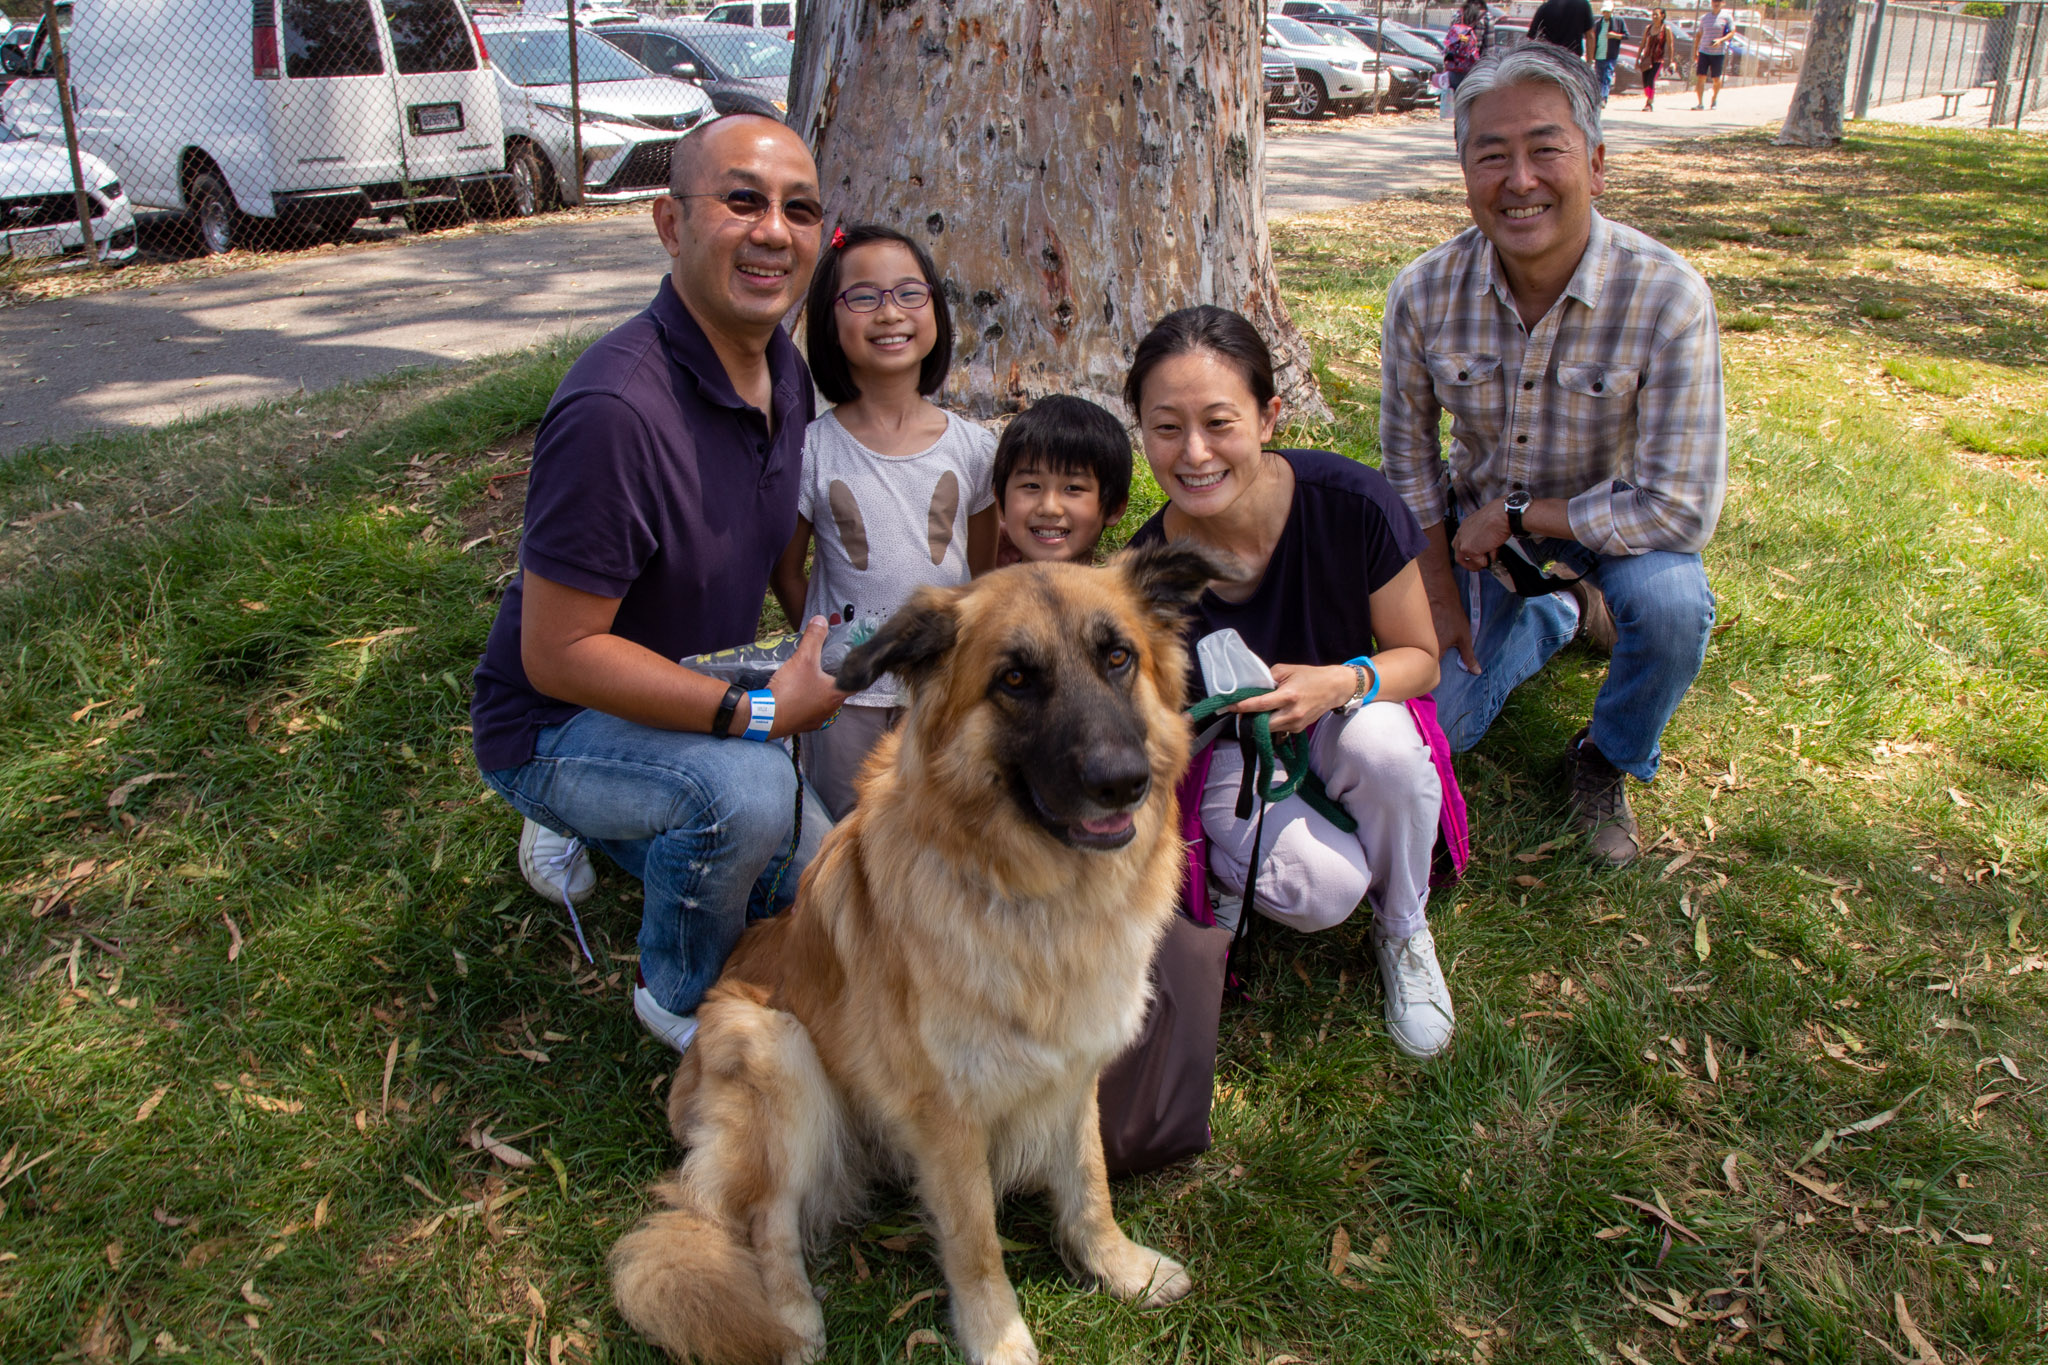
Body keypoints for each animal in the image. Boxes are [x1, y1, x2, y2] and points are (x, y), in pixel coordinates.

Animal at [606, 540, 1212, 1365]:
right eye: (1014, 679)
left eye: (1117, 656)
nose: (1123, 782)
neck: (1033, 893)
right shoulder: (946, 1114)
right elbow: (975, 1240)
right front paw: (998, 1338)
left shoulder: (1073, 1067)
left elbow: (1089, 1179)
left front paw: (1117, 1265)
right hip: (779, 1051)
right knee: (766, 1218)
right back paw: (790, 1319)